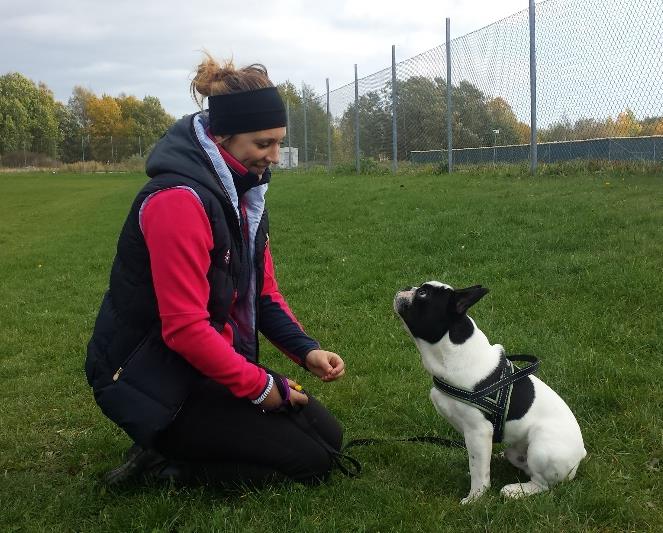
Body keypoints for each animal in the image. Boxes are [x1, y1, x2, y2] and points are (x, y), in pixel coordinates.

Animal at [394, 280, 588, 500]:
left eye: (423, 293)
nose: (406, 287)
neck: (453, 351)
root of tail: (580, 454)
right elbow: (477, 462)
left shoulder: (478, 431)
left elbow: (479, 470)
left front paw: (475, 497)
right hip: (519, 450)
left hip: (542, 448)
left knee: (542, 483)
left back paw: (516, 490)